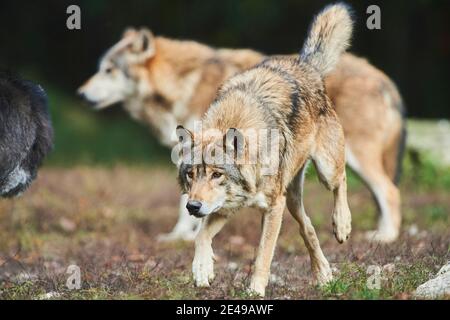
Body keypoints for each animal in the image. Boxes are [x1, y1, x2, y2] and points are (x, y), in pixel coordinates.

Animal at [176, 3, 356, 298]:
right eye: (191, 174)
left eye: (217, 175)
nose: (192, 206)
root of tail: (303, 63)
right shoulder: (226, 207)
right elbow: (200, 235)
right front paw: (202, 270)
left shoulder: (273, 208)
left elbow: (263, 254)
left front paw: (255, 291)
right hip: (291, 200)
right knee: (308, 228)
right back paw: (323, 275)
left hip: (323, 173)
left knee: (341, 180)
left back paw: (342, 225)